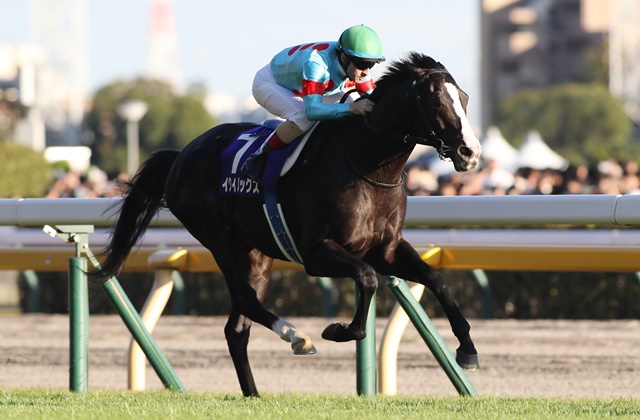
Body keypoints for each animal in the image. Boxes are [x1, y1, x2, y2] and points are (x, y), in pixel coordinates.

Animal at [95, 52, 482, 397]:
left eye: (464, 98)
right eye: (435, 101)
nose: (471, 152)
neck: (366, 164)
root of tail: (182, 155)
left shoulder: (386, 249)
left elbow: (435, 278)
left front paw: (467, 348)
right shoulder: (316, 252)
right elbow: (367, 279)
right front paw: (339, 330)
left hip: (256, 252)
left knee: (237, 328)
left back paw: (254, 394)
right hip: (217, 236)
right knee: (246, 300)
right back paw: (297, 336)